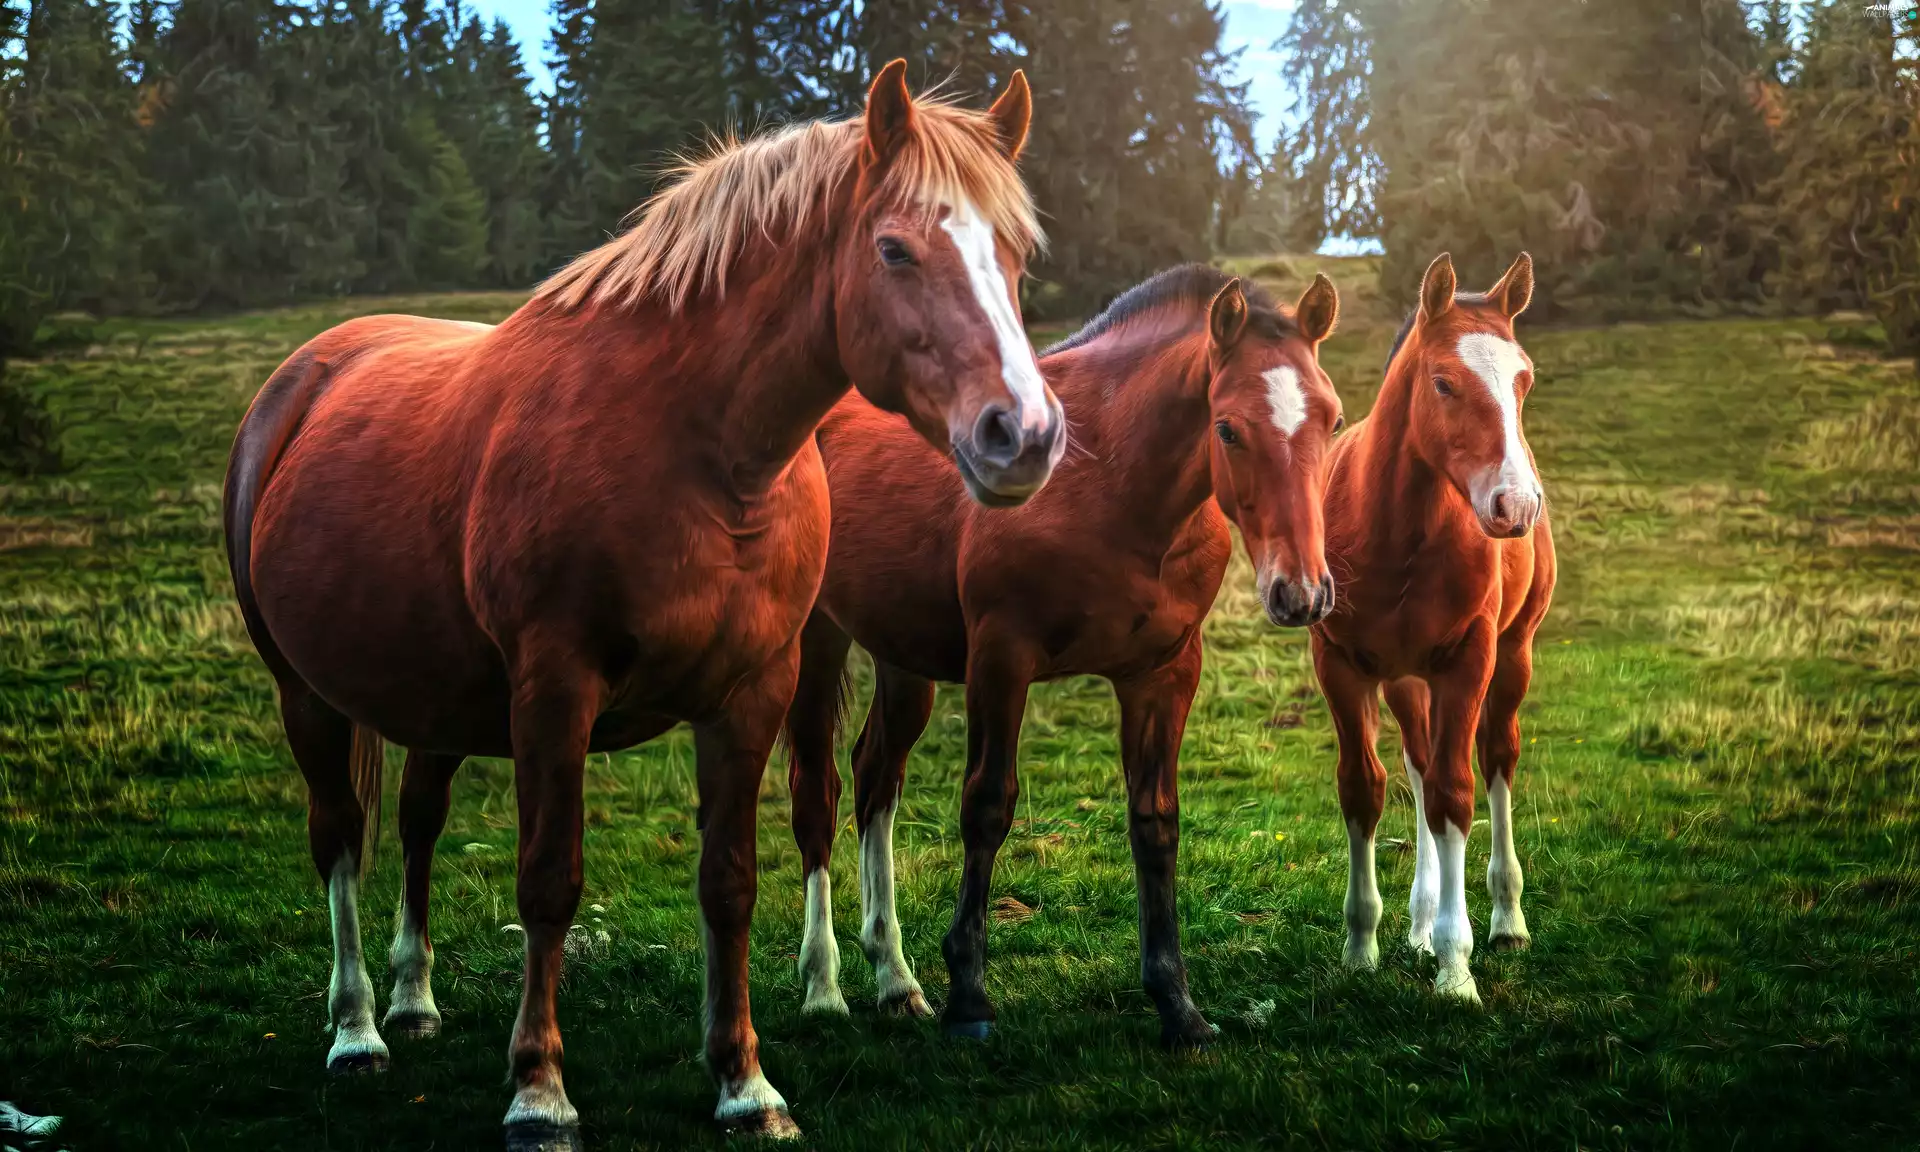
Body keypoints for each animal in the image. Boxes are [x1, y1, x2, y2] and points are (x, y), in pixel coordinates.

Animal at [222, 62, 1063, 1145]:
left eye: (1015, 256)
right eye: (894, 248)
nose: (1023, 435)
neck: (691, 450)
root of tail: (301, 379)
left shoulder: (751, 693)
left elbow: (730, 883)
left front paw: (745, 1083)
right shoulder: (553, 693)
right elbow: (549, 881)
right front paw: (539, 1092)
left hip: (434, 699)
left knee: (414, 822)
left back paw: (412, 1000)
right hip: (308, 698)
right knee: (338, 838)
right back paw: (358, 1029)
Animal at [781, 264, 1344, 1047]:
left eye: (1334, 419)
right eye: (1228, 427)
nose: (1302, 592)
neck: (1107, 479)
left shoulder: (1163, 672)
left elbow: (1155, 821)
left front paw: (1177, 1003)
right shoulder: (1001, 658)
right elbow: (987, 804)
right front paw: (970, 996)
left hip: (902, 656)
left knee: (875, 778)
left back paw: (895, 980)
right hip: (818, 641)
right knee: (817, 791)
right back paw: (823, 986)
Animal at [1309, 251, 1554, 1003]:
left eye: (1525, 378)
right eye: (1444, 382)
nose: (1515, 505)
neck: (1394, 529)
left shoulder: (1466, 661)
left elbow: (1456, 793)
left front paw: (1456, 967)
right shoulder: (1341, 664)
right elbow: (1364, 788)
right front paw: (1361, 947)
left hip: (1512, 656)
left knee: (1495, 759)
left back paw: (1505, 918)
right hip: (1403, 679)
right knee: (1417, 767)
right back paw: (1417, 924)